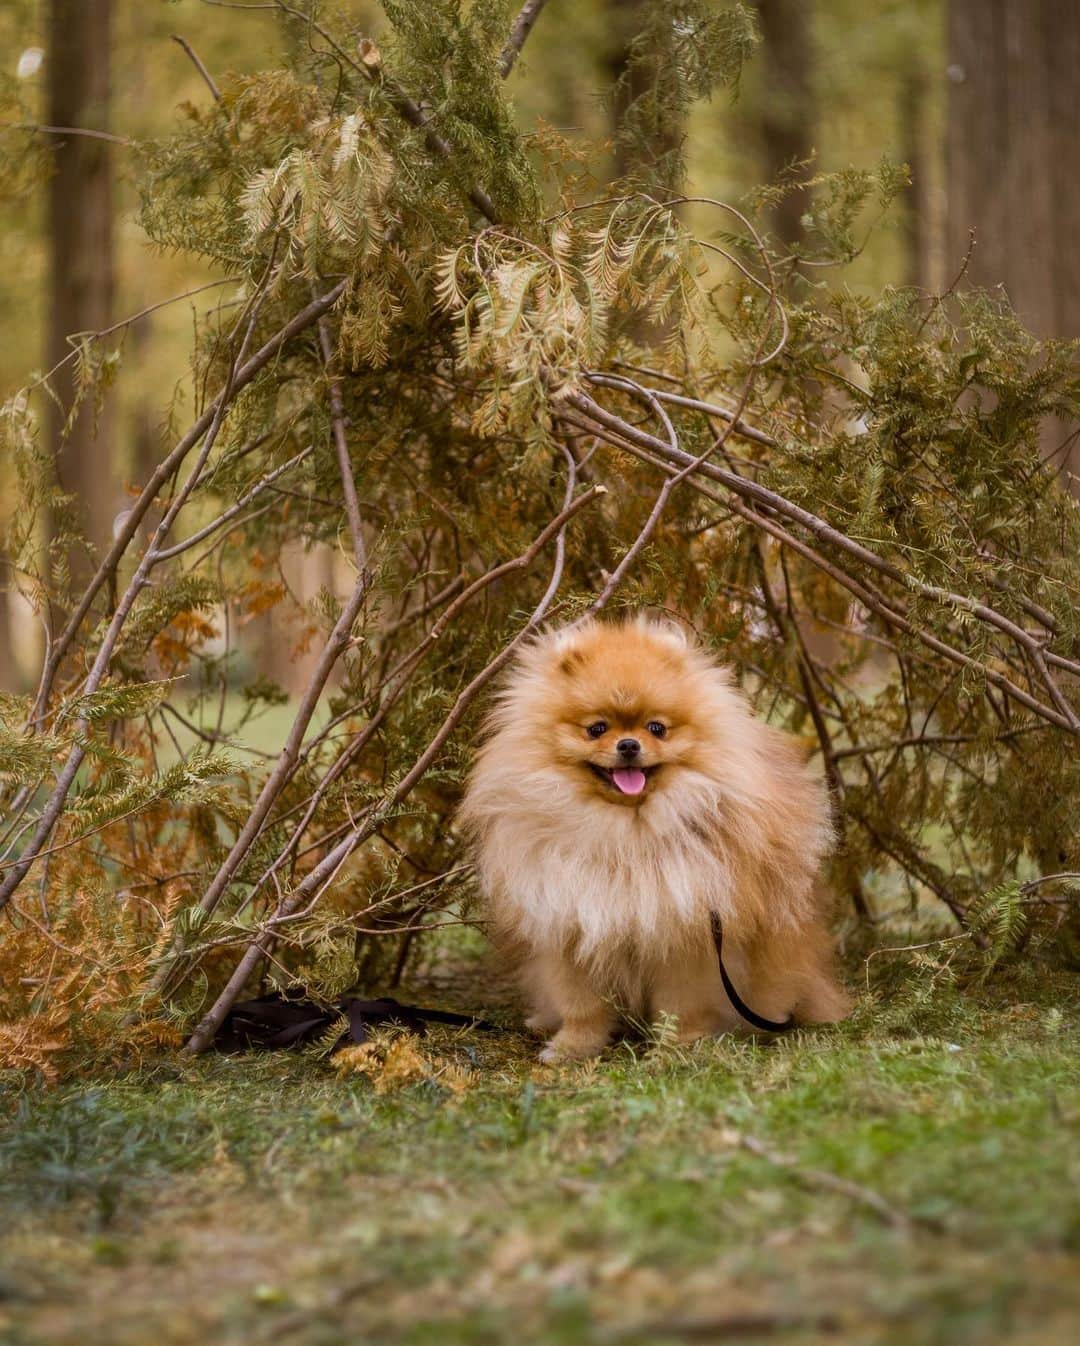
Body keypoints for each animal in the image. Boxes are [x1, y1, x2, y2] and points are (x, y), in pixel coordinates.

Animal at [457, 616, 845, 1060]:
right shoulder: (573, 927)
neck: (626, 832)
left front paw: (676, 1046)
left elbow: (679, 1004)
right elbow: (582, 1005)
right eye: (596, 729)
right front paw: (573, 1047)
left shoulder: (685, 933)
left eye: (657, 728)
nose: (628, 744)